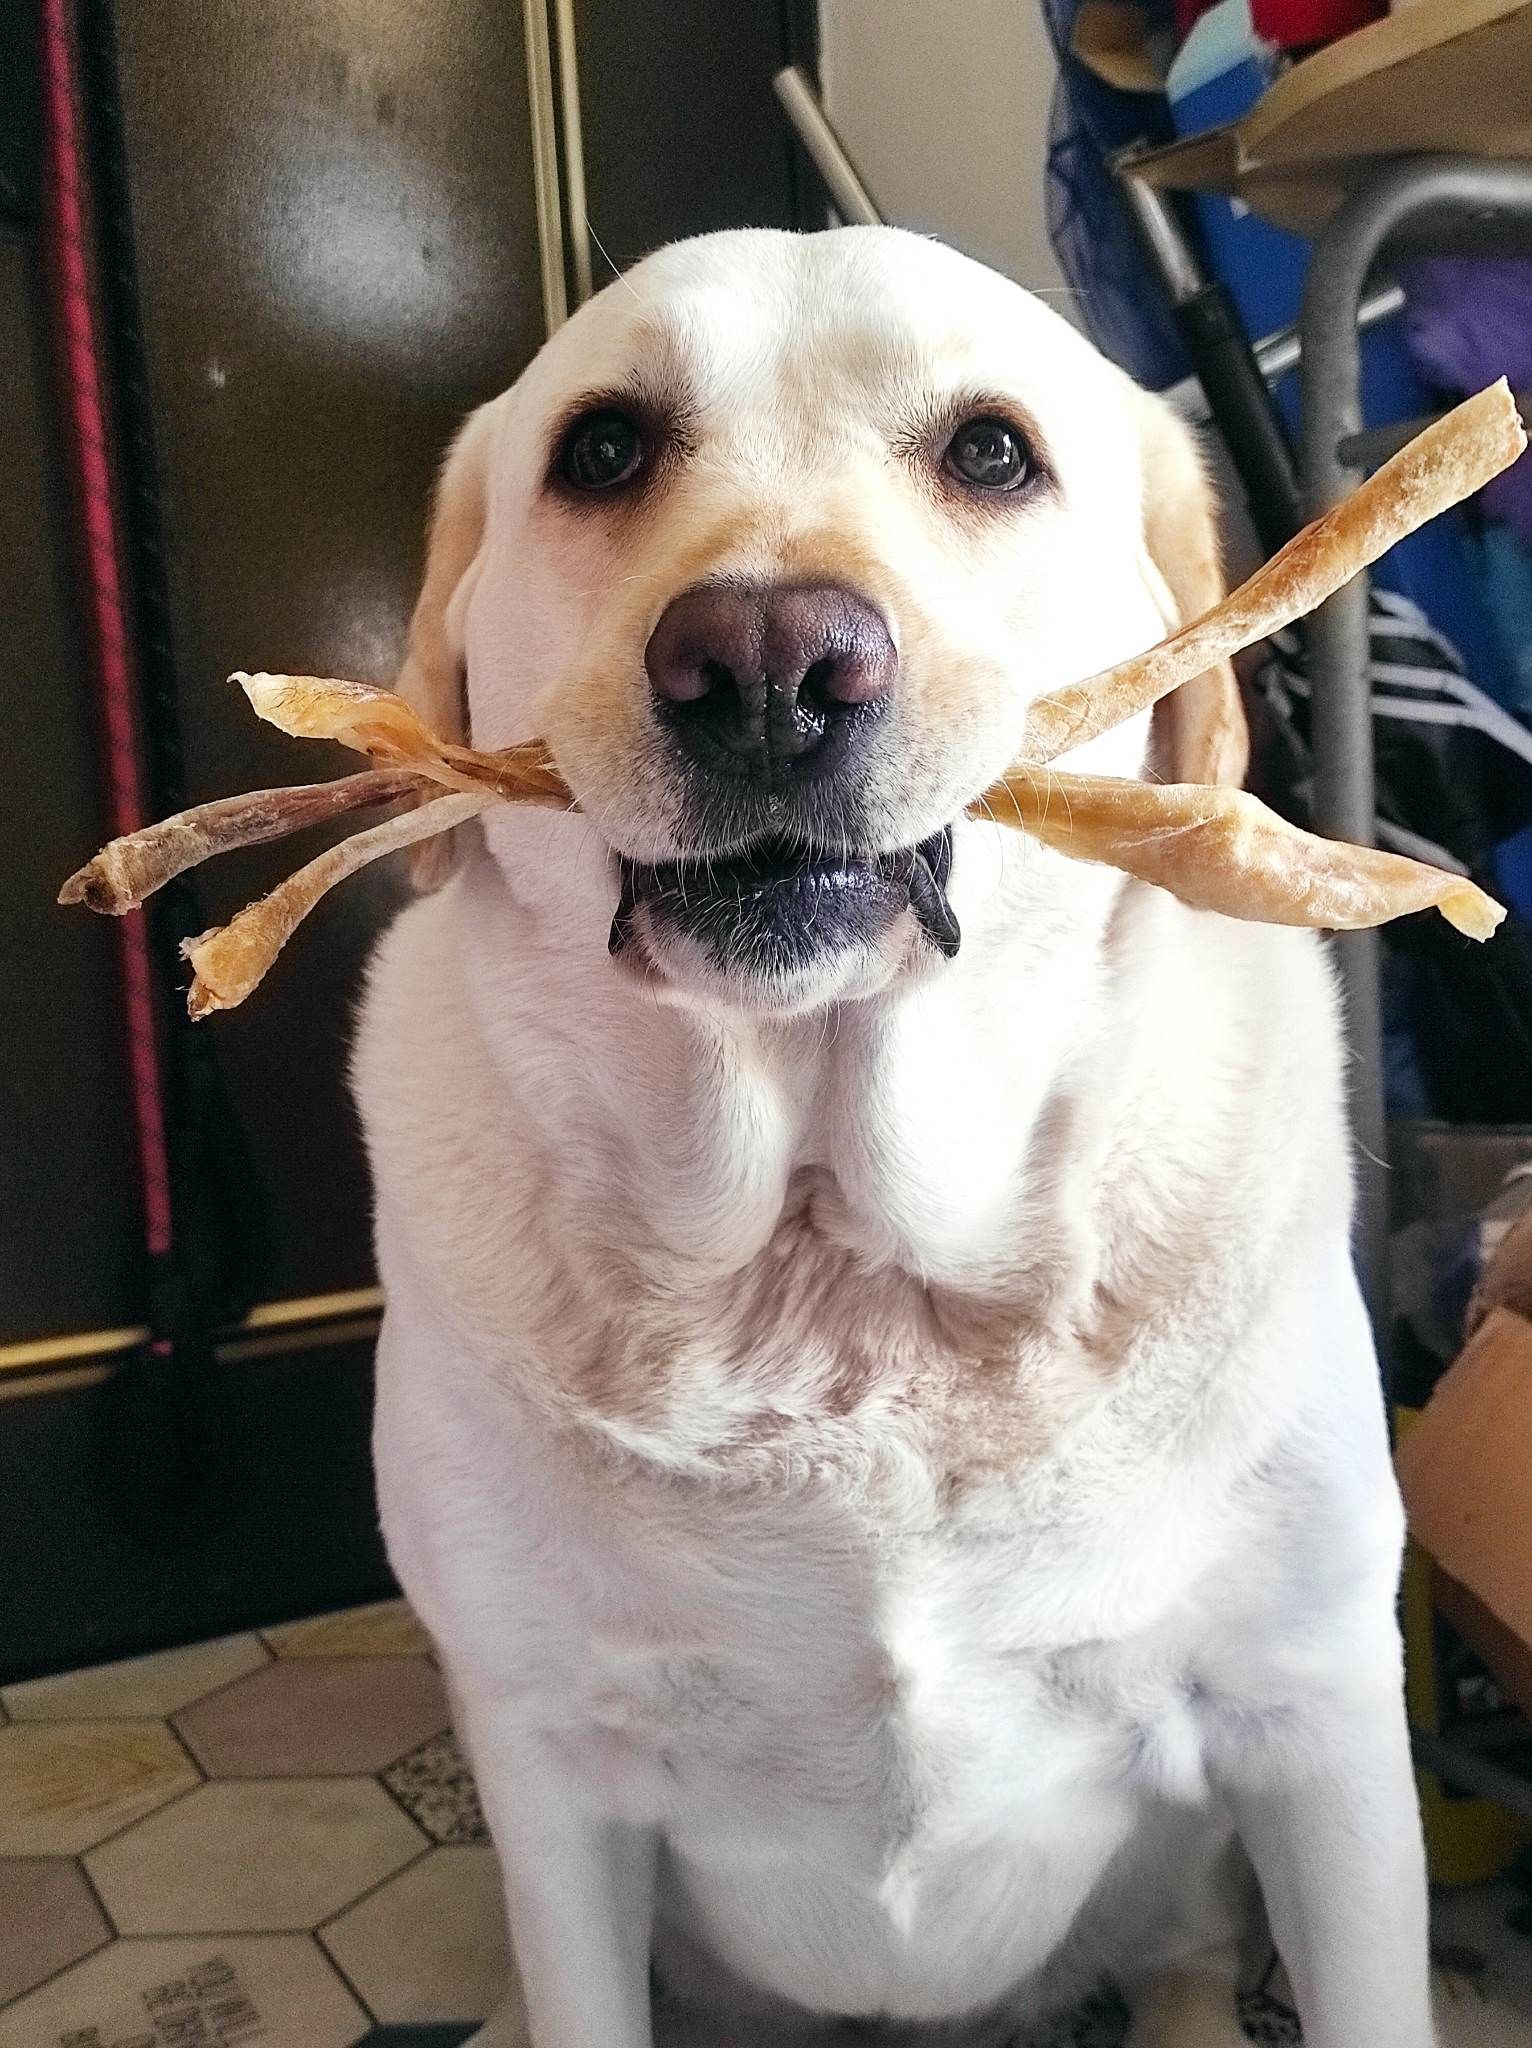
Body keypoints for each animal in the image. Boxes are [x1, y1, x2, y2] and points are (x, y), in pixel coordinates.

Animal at [352, 228, 1433, 2048]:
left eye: (991, 451)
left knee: (1186, 1959)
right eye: (603, 448)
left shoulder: (1321, 1708)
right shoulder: (547, 1763)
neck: (837, 1256)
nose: (767, 667)